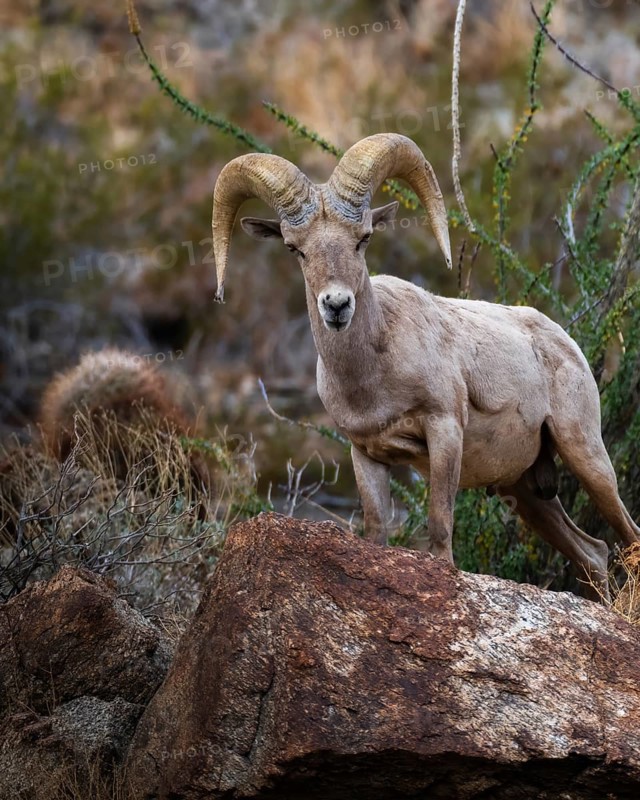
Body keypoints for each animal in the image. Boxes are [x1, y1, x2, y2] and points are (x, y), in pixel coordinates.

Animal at [211, 132, 640, 595]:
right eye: (296, 249)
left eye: (362, 238)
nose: (337, 305)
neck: (372, 376)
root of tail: (565, 342)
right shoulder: (366, 455)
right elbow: (376, 532)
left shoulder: (444, 430)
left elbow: (439, 530)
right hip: (525, 492)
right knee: (593, 553)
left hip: (585, 454)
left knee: (627, 535)